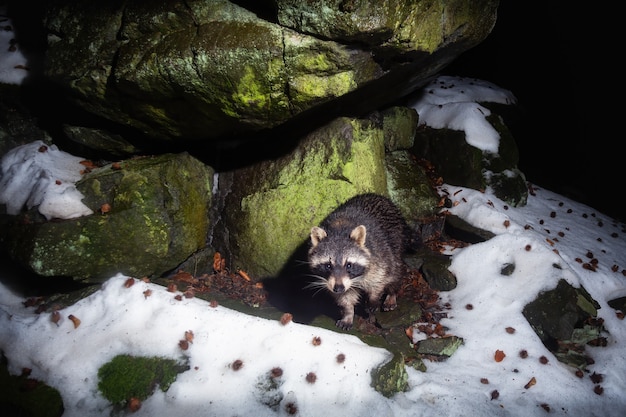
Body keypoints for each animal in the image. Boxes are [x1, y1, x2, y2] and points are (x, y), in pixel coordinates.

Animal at [308, 193, 410, 330]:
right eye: (328, 266)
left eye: (349, 265)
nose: (338, 288)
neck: (338, 231)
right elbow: (345, 297)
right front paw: (348, 313)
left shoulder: (378, 254)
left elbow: (379, 279)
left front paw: (374, 297)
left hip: (396, 241)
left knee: (395, 270)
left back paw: (392, 293)